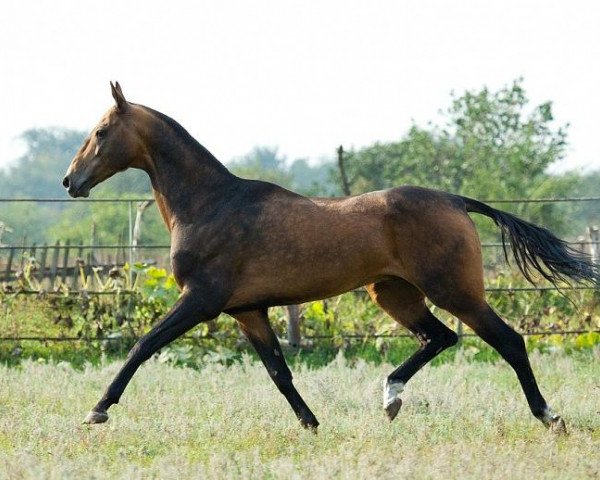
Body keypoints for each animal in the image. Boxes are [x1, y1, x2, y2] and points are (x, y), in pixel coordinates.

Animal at [63, 83, 596, 436]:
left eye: (102, 131)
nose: (71, 181)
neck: (211, 204)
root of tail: (454, 199)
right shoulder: (247, 311)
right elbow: (279, 372)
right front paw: (311, 424)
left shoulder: (202, 301)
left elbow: (142, 346)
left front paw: (97, 410)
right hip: (394, 294)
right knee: (439, 337)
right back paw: (390, 397)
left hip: (455, 291)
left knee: (507, 341)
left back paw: (550, 417)